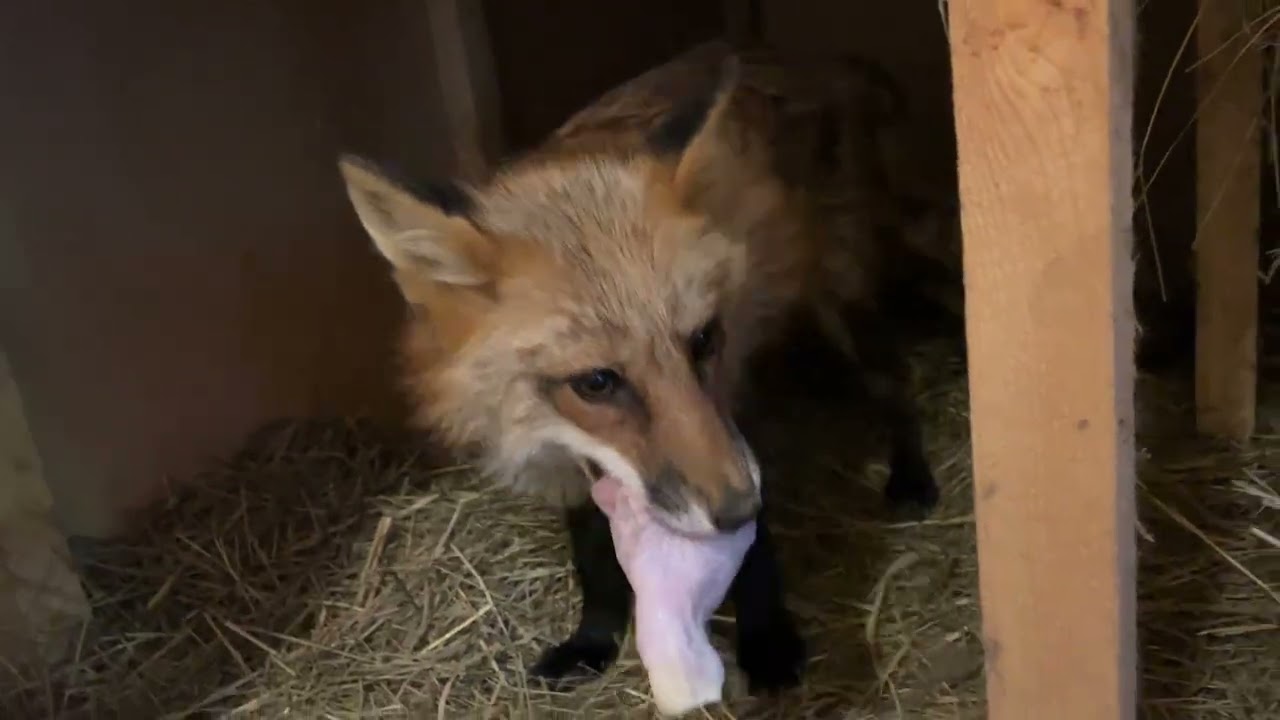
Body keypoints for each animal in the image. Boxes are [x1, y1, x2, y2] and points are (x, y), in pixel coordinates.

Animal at [336, 40, 950, 696]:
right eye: (596, 383)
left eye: (702, 340)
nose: (739, 510)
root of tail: (822, 59)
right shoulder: (574, 461)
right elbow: (593, 558)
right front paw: (593, 640)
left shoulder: (730, 401)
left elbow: (756, 555)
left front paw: (769, 640)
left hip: (843, 300)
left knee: (894, 380)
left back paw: (911, 477)